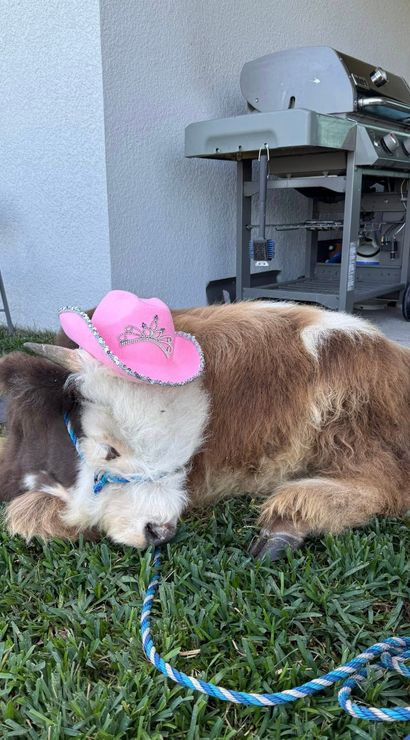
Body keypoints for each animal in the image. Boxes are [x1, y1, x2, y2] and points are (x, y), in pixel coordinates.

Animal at [2, 301, 410, 560]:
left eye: (183, 458)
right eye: (110, 451)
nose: (160, 531)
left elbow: (25, 515)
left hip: (348, 418)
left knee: (388, 483)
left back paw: (288, 520)